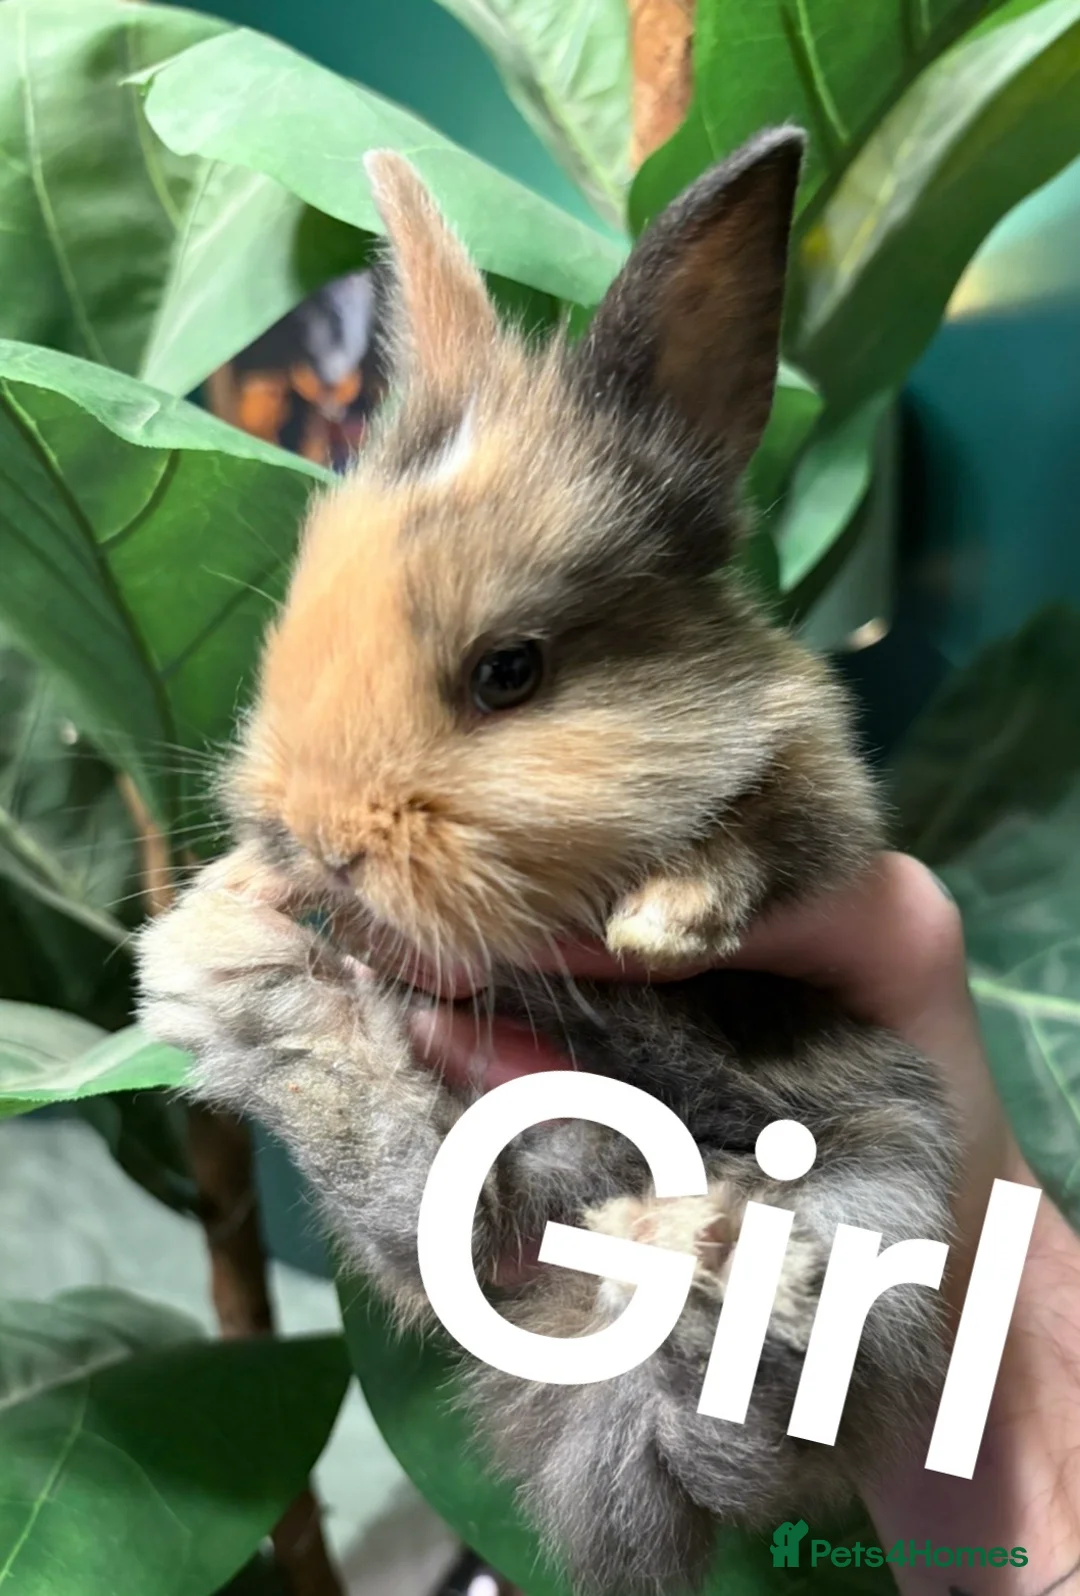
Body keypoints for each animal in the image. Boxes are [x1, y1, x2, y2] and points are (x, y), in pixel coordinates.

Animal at [137, 128, 959, 1596]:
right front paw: (232, 907)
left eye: (509, 672)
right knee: (431, 1222)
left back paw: (710, 1246)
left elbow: (764, 827)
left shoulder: (826, 790)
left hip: (885, 1174)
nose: (318, 841)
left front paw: (662, 922)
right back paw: (227, 972)